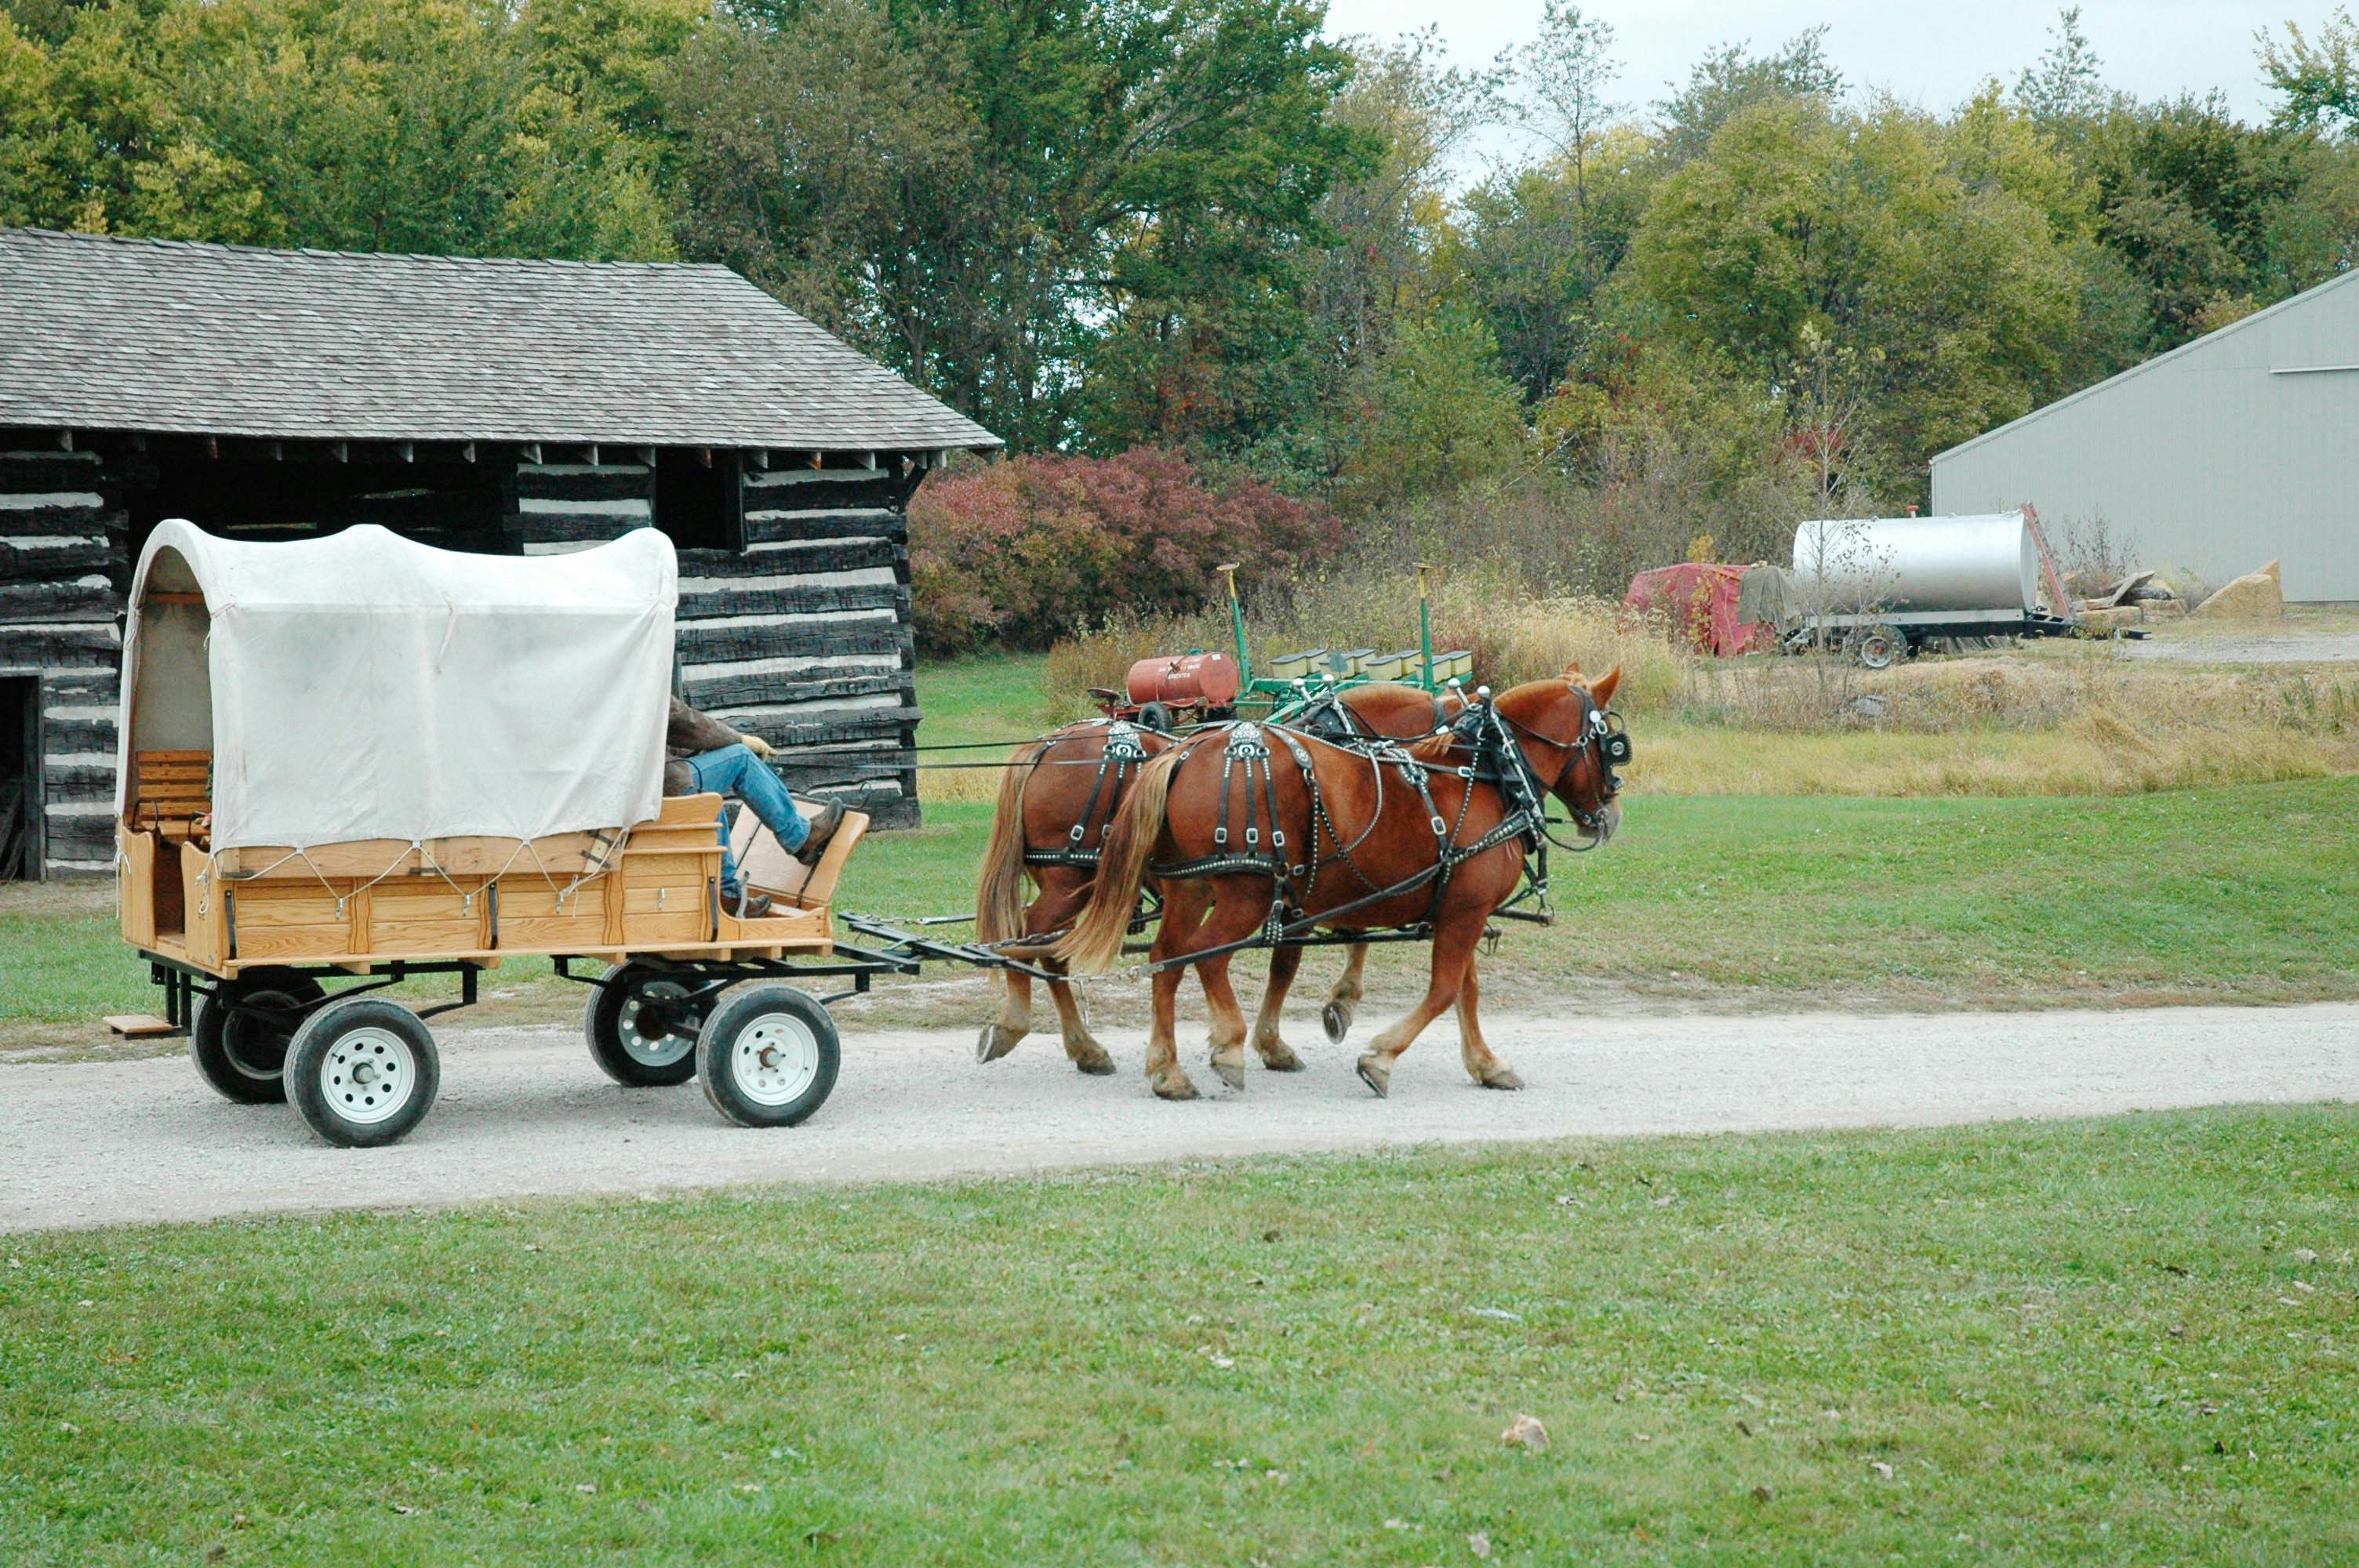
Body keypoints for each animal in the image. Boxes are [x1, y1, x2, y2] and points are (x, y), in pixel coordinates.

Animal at [972, 684, 1452, 1075]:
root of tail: (1046, 745)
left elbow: (1298, 957)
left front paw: (1293, 1029)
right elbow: (1319, 949)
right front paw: (1330, 1009)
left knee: (1046, 946)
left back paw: (1078, 1045)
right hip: (1070, 880)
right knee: (1036, 937)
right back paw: (1040, 1031)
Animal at [1061, 665, 1613, 1094]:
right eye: (1612, 743)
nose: (1609, 816)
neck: (1489, 775)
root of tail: (1186, 751)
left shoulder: (1460, 908)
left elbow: (1464, 990)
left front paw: (1486, 1064)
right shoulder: (1463, 912)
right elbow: (1440, 991)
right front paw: (1378, 1058)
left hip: (1191, 887)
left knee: (1166, 960)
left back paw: (1167, 1069)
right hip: (1246, 893)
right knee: (1205, 957)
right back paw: (1224, 1047)